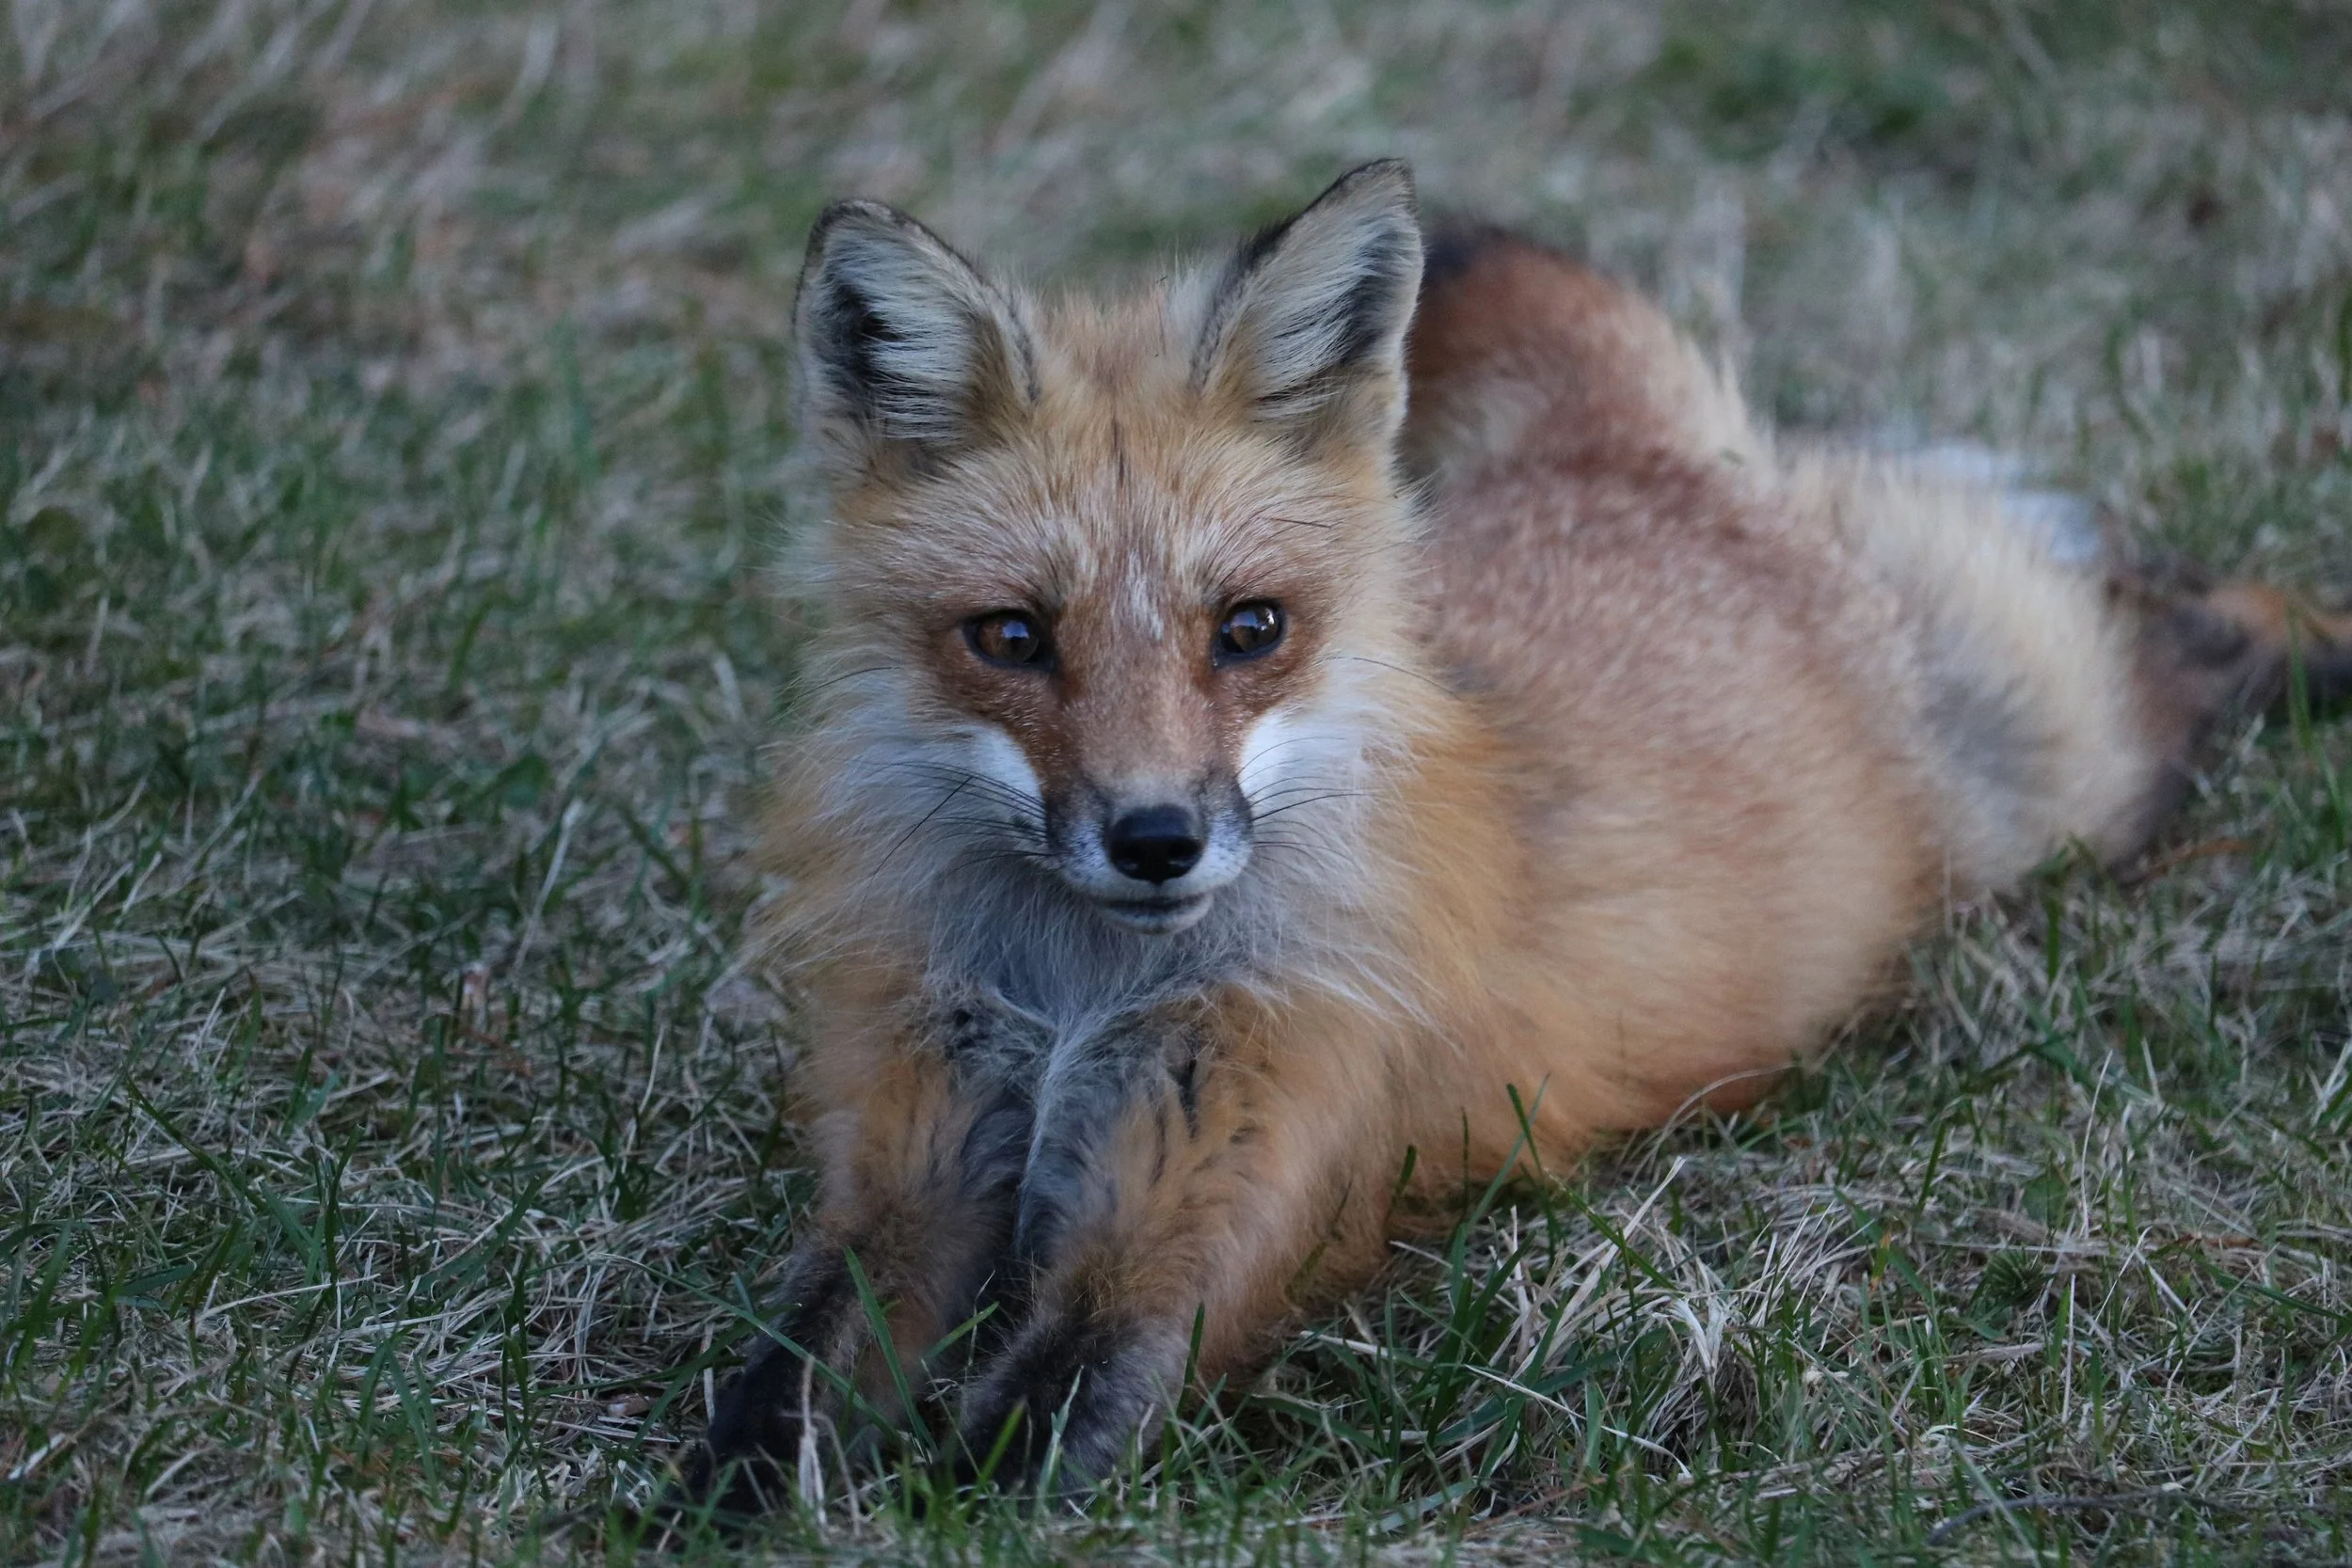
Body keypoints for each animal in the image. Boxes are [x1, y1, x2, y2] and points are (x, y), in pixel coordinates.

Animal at [673, 161, 2352, 1512]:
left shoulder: (1221, 1184)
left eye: (1249, 629)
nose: (1156, 838)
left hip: (2071, 770)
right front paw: (721, 1503)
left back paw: (2311, 642)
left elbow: (1023, 1444)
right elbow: (782, 1381)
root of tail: (1645, 463)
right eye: (1012, 637)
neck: (1086, 992)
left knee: (2190, 619)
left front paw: (922, 1511)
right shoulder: (918, 1139)